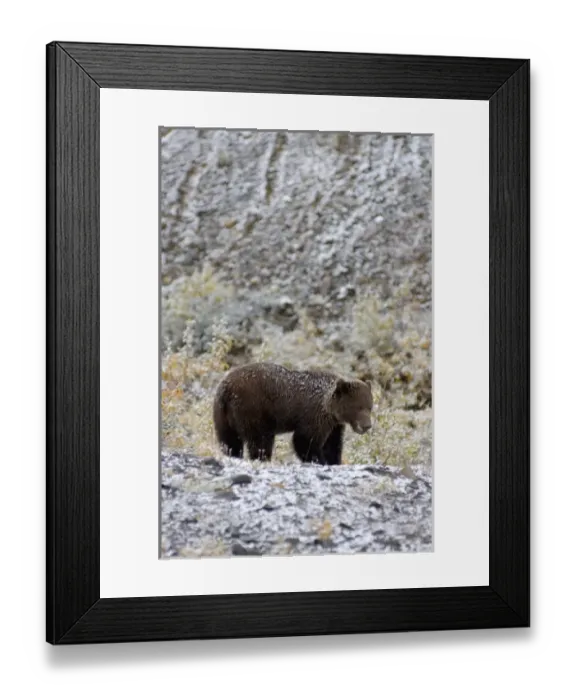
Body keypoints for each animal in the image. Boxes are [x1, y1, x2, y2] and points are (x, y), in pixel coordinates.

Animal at [212, 361, 373, 465]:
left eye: (370, 407)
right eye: (358, 407)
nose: (367, 426)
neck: (330, 409)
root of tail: (227, 388)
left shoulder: (334, 425)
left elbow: (332, 444)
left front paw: (334, 461)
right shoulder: (314, 416)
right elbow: (304, 440)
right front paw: (319, 460)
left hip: (222, 414)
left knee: (230, 440)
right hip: (253, 408)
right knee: (260, 440)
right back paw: (263, 458)